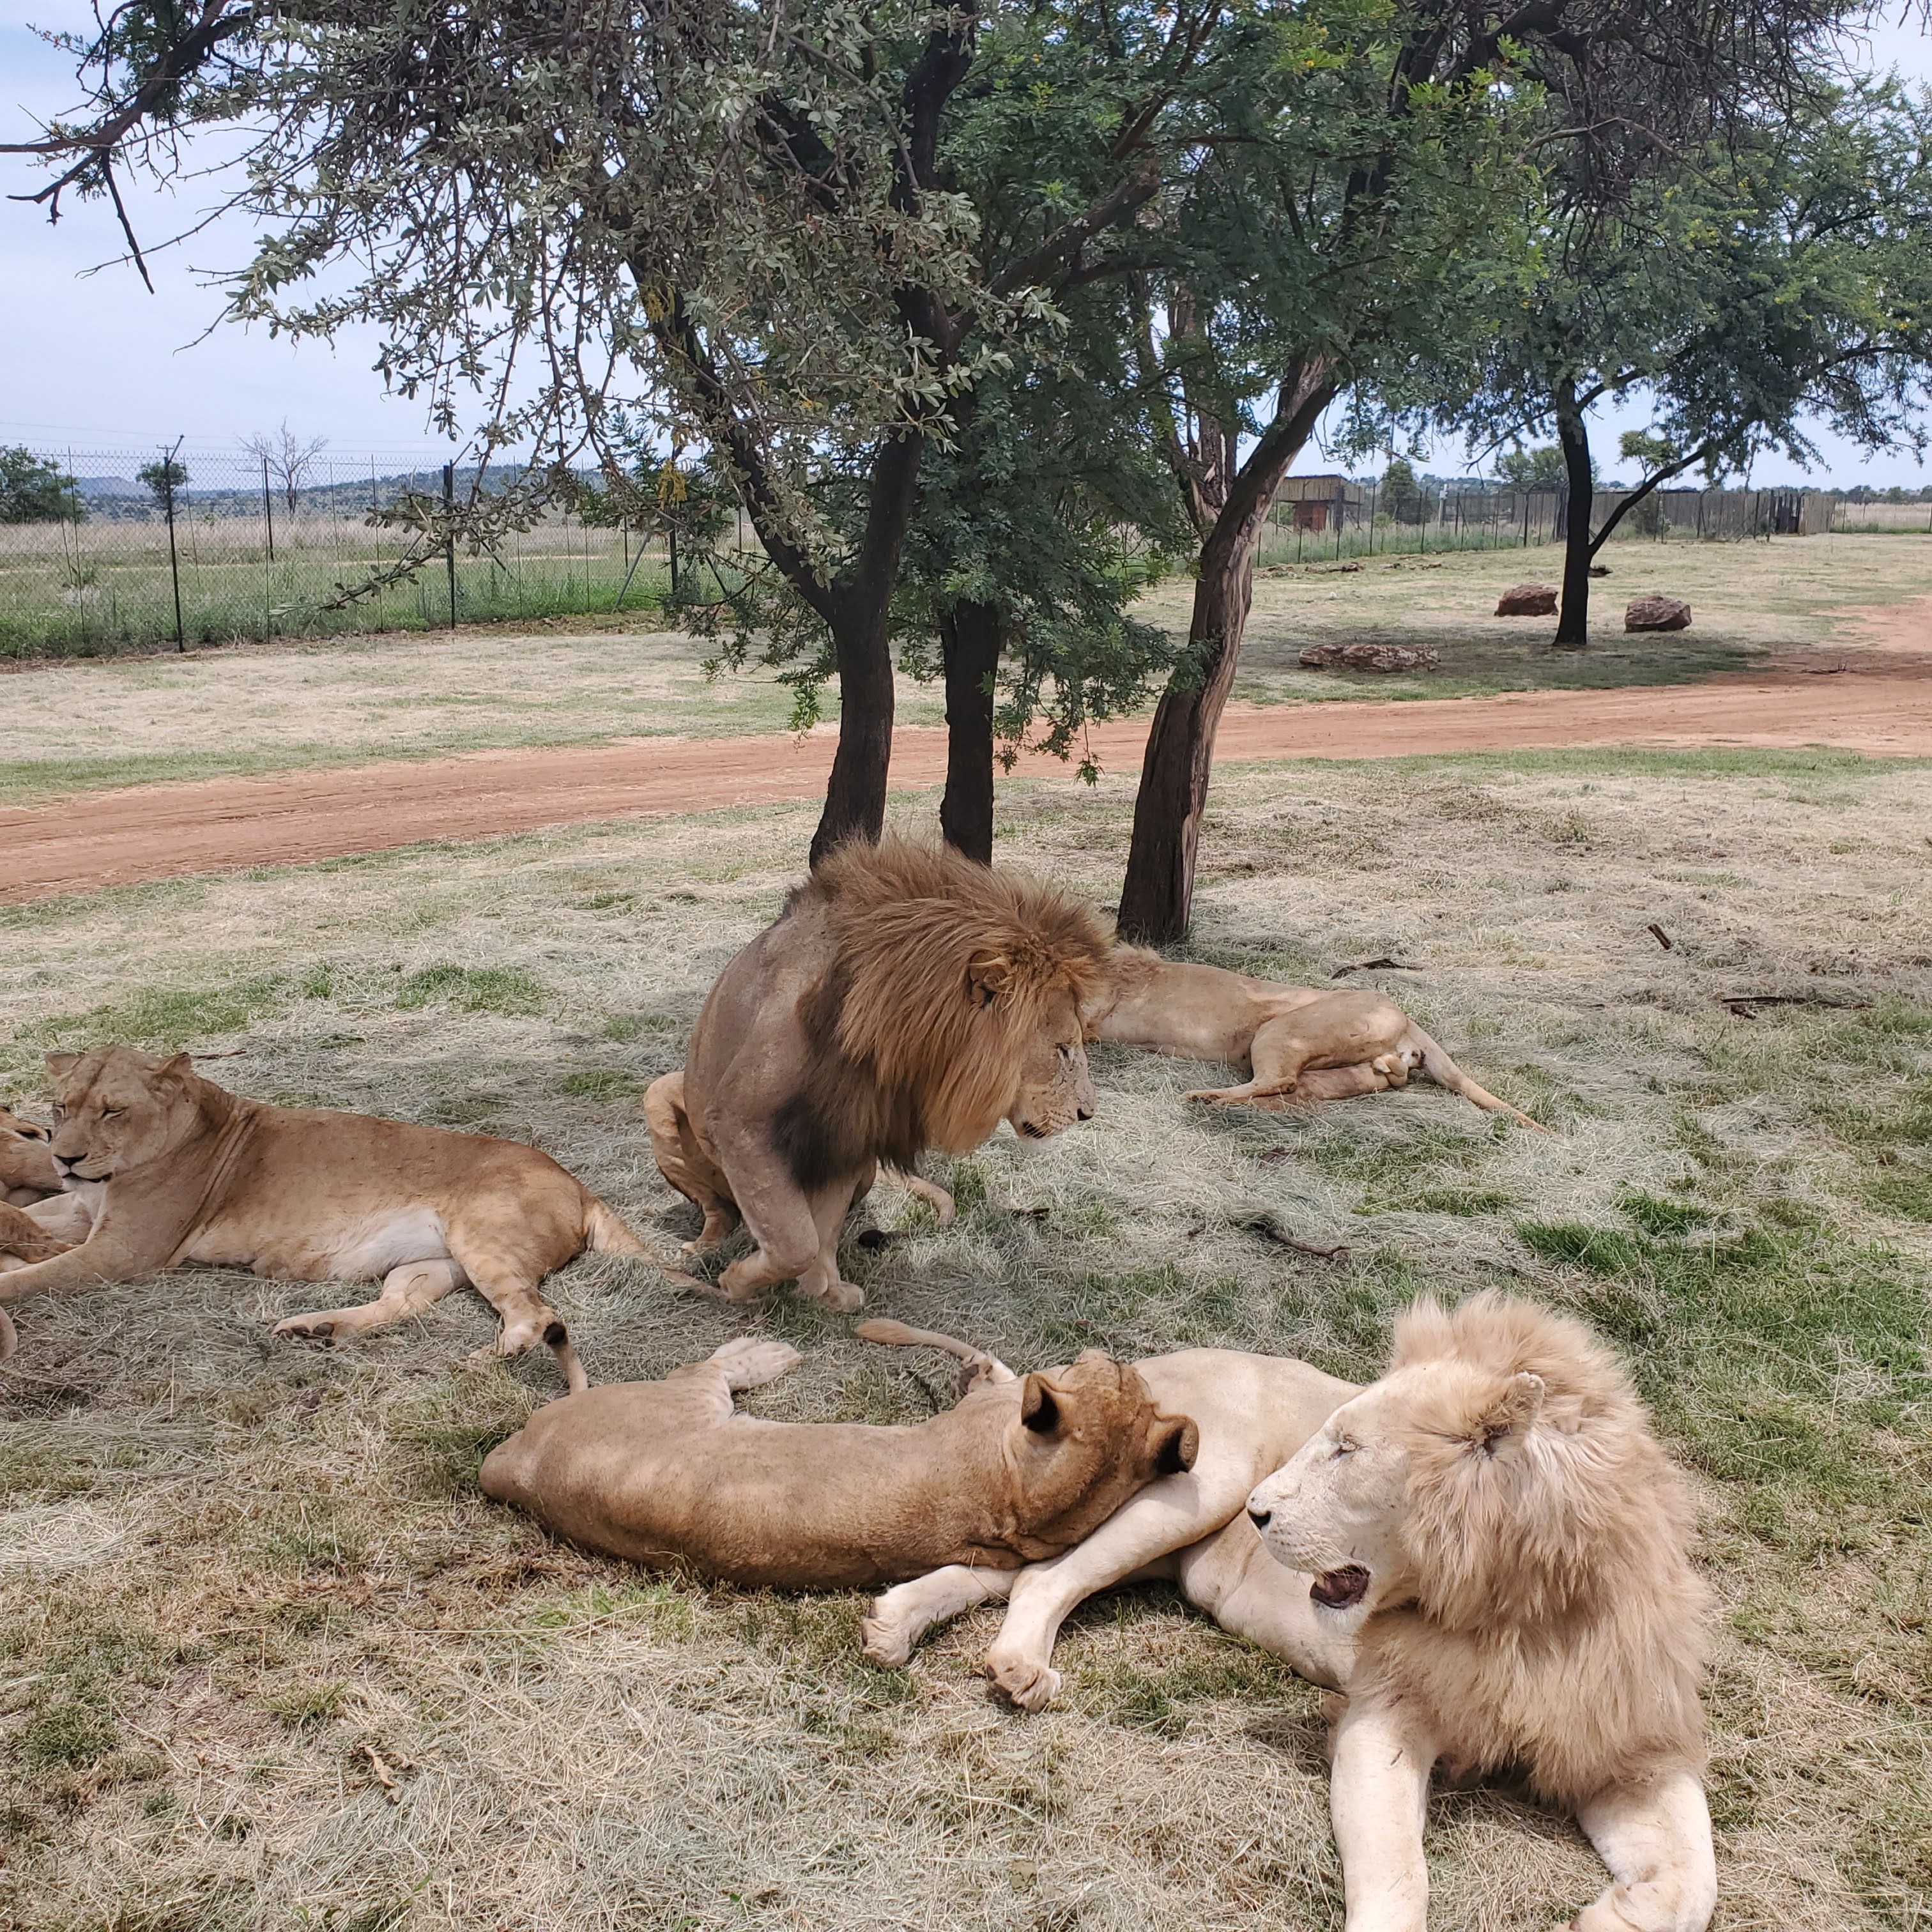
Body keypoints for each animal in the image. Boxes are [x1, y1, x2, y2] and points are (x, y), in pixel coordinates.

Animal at [0, 1046, 645, 1388]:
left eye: (113, 1111)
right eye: (60, 1107)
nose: (64, 1157)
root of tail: (578, 1184)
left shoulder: (124, 1253)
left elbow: (29, 1277)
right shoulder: (78, 1212)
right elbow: (22, 1219)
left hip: (481, 1238)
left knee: (536, 1315)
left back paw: (485, 1359)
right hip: (434, 1263)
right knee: (399, 1305)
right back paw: (316, 1329)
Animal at [481, 1333, 1198, 1589]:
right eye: (1110, 1372)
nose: (1108, 1352)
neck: (1020, 1503)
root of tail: (513, 1462)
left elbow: (1000, 1375)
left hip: (679, 1399)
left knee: (707, 1368)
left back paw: (768, 1349)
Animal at [643, 837, 1109, 1310]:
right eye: (1063, 1049)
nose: (1087, 1113)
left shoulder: (850, 1131)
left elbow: (822, 1232)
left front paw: (825, 1291)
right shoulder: (741, 1122)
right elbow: (795, 1241)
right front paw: (738, 1283)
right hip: (662, 1096)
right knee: (720, 1211)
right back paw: (702, 1250)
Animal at [863, 1296, 1714, 1932]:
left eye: (1345, 1449)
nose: (1259, 1511)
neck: (1517, 1619)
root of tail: (1129, 1368)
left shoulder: (1629, 1743)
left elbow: (1698, 1878)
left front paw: (1614, 1915)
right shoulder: (1384, 1717)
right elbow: (1400, 1877)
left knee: (1003, 1568)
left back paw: (893, 1622)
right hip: (1196, 1479)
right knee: (1043, 1577)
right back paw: (1019, 1666)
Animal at [1086, 945, 1548, 1128]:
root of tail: (1403, 1015)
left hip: (1279, 1030)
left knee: (1278, 1080)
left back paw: (1204, 1098)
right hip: (1339, 1065)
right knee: (1313, 1087)